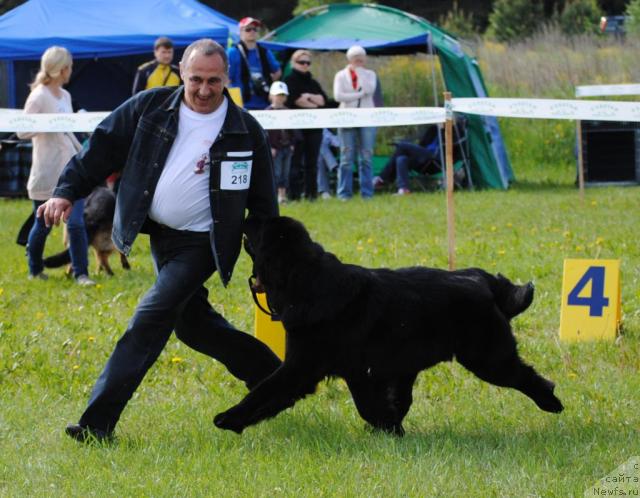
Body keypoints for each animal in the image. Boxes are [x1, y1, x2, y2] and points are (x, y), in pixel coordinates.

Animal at [214, 216, 560, 434]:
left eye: (262, 226)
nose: (248, 215)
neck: (306, 279)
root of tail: (480, 279)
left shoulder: (304, 366)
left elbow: (264, 391)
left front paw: (228, 418)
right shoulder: (355, 371)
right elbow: (368, 405)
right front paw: (389, 428)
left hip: (487, 358)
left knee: (526, 376)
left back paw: (551, 402)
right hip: (412, 361)